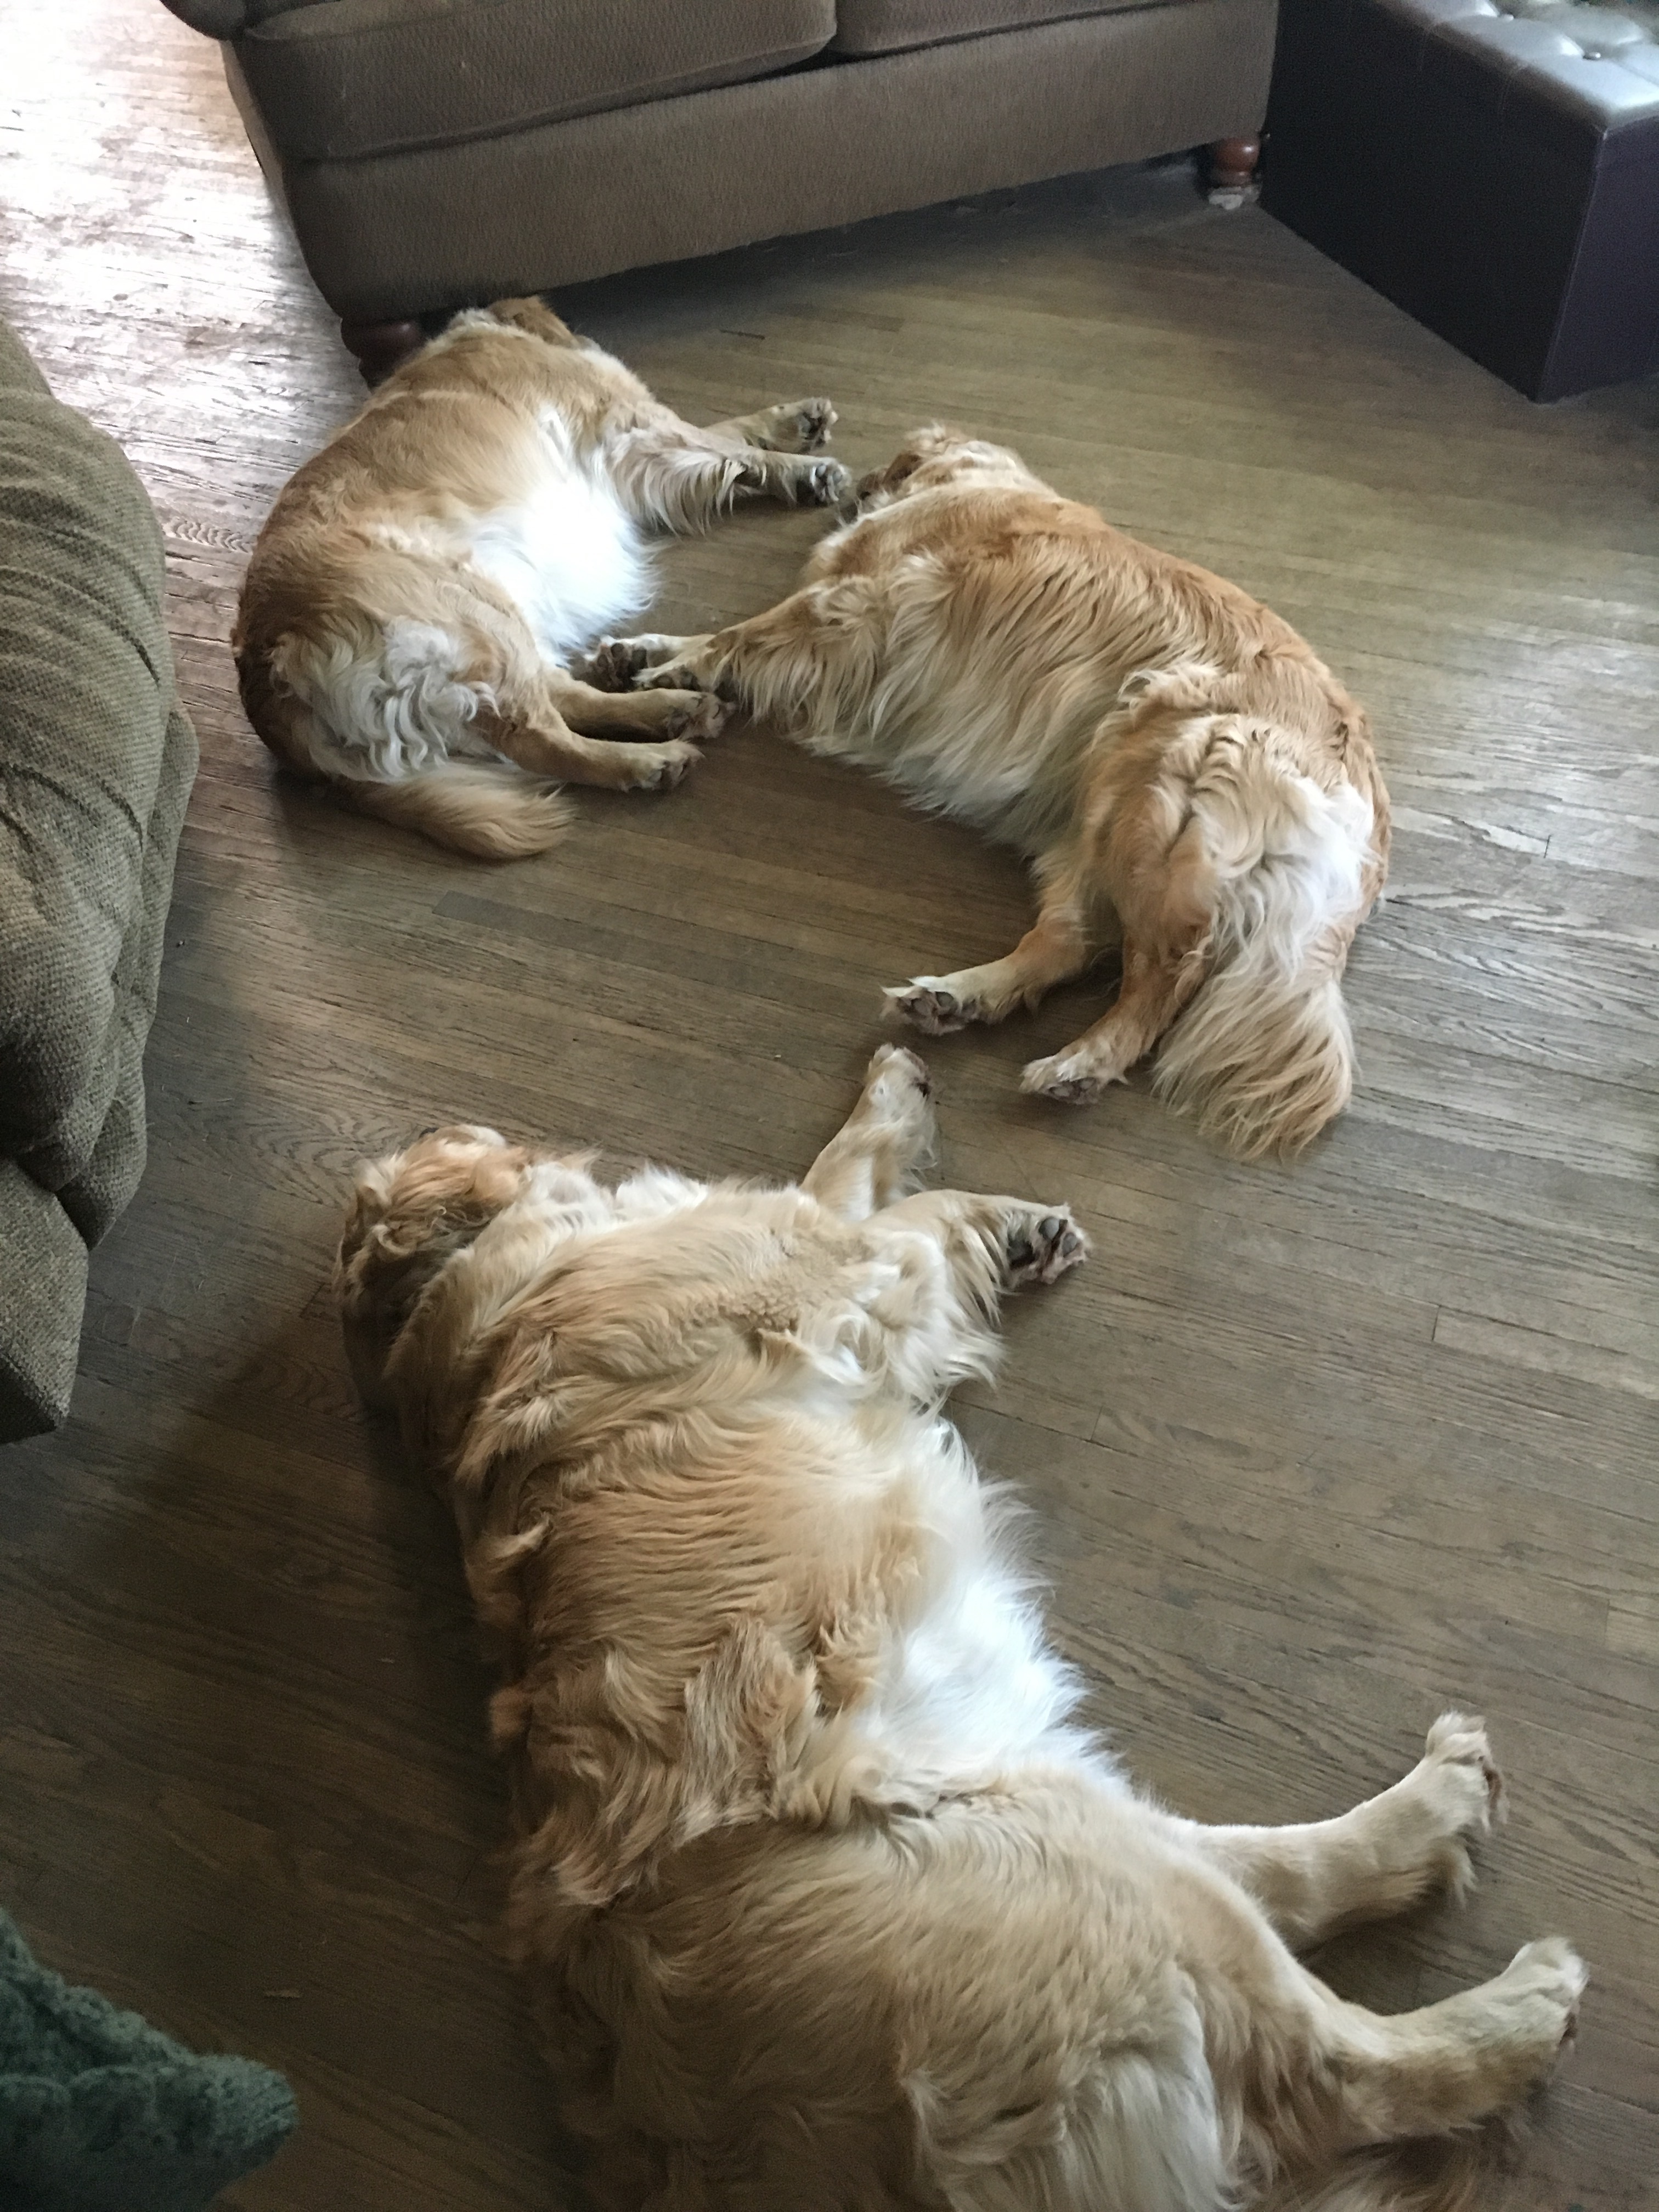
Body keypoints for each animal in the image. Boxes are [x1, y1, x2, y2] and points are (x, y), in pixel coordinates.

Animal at [234, 297, 849, 860]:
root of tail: (268, 664)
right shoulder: (630, 424)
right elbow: (714, 439)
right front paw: (804, 470)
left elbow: (728, 430)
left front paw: (795, 422)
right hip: (474, 612)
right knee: (542, 738)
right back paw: (650, 759)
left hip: (495, 625)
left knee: (565, 697)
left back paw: (669, 707)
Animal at [338, 1048, 1582, 2212]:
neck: (463, 1292)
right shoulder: (831, 1262)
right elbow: (875, 1200)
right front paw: (953, 1169)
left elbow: (846, 1165)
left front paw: (921, 1113)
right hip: (1075, 1883)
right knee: (1334, 2063)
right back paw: (1520, 2003)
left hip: (1049, 1807)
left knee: (1282, 1877)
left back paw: (1437, 1807)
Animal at [593, 428, 1392, 1156]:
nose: (850, 485)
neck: (971, 481)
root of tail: (1368, 813)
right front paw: (647, 651)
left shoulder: (857, 598)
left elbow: (747, 631)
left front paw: (678, 660)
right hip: (1097, 811)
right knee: (1070, 943)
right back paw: (959, 997)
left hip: (1162, 771)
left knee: (1170, 969)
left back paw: (1083, 1062)